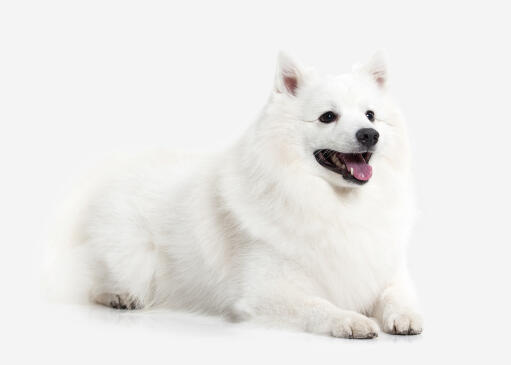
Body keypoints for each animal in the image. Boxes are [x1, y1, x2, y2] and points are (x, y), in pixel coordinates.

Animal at [47, 52, 424, 338]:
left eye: (370, 115)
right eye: (328, 117)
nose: (369, 134)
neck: (335, 204)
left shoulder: (384, 269)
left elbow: (397, 295)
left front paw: (404, 316)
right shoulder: (266, 291)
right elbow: (318, 306)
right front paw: (351, 319)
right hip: (130, 256)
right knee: (88, 280)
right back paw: (118, 295)